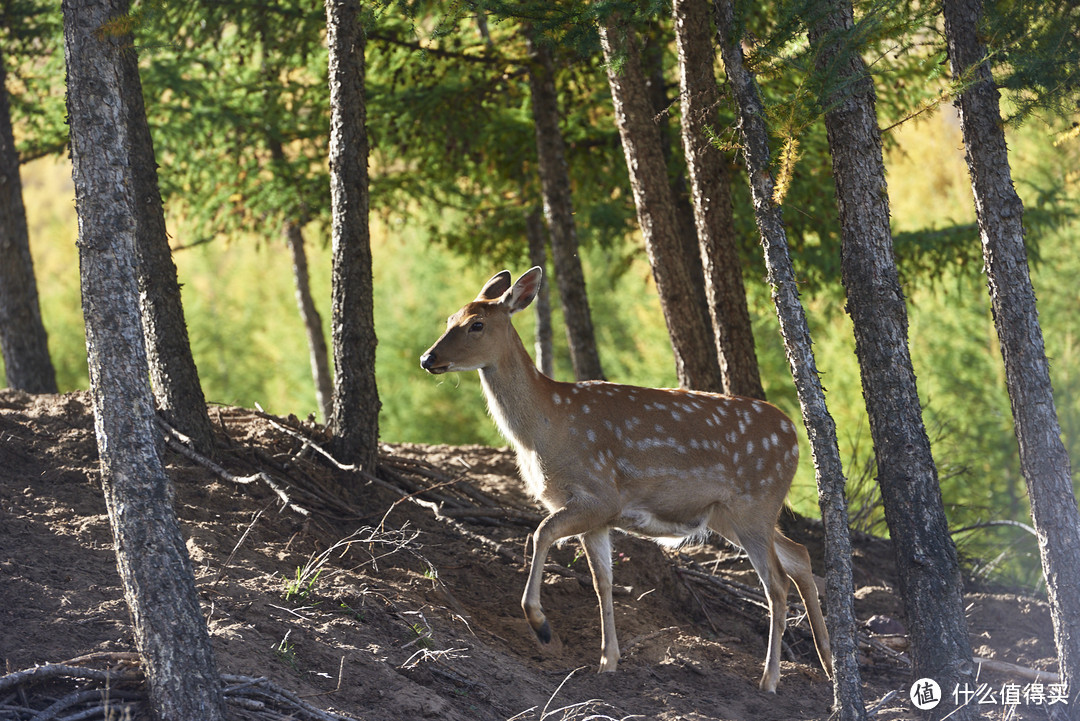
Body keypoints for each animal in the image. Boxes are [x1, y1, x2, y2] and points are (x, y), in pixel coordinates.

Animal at [416, 267, 829, 690]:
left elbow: (541, 533)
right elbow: (603, 582)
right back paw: (829, 666)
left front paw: (541, 625)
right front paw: (607, 661)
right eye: (450, 319)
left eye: (477, 324)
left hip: (754, 503)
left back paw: (770, 679)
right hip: (729, 514)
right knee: (799, 556)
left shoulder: (599, 495)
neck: (545, 430)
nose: (428, 358)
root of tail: (794, 436)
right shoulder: (597, 517)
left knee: (776, 583)